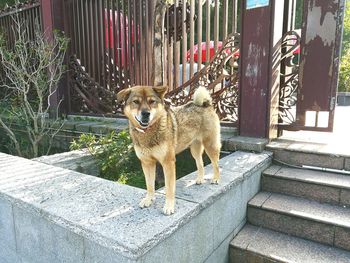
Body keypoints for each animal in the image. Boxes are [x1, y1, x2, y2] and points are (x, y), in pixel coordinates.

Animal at [117, 85, 221, 216]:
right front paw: (148, 199)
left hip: (210, 145)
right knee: (200, 163)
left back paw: (216, 178)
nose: (146, 113)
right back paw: (200, 179)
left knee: (216, 164)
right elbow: (149, 185)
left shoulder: (168, 163)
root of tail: (205, 104)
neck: (148, 132)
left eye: (152, 101)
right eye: (136, 102)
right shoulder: (147, 163)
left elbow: (169, 188)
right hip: (195, 150)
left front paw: (169, 206)